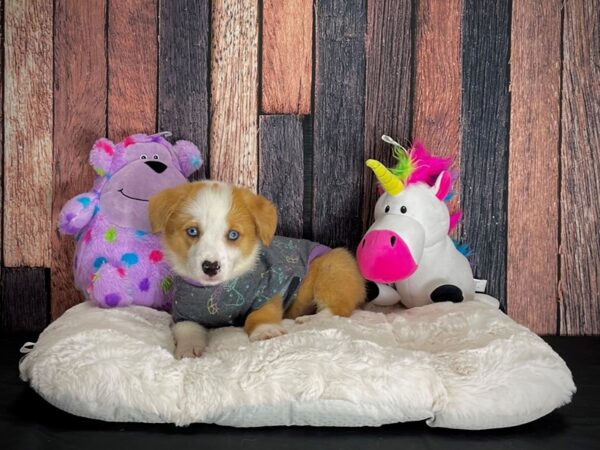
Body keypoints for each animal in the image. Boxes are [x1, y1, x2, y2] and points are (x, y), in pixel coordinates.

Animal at [150, 179, 366, 358]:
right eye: (192, 231)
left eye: (233, 235)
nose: (210, 267)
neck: (216, 290)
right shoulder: (183, 314)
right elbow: (187, 330)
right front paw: (188, 349)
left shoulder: (269, 293)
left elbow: (258, 316)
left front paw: (265, 332)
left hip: (332, 267)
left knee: (340, 308)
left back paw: (310, 320)